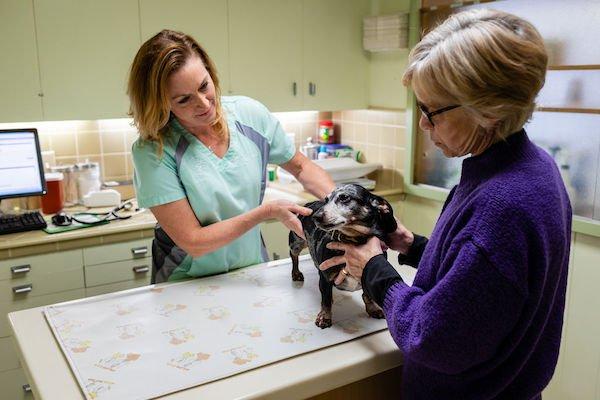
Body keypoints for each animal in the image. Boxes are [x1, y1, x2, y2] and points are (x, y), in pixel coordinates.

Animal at [288, 184, 396, 328]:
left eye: (345, 197)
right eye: (326, 200)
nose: (315, 216)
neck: (353, 240)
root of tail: (309, 204)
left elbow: (367, 295)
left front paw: (373, 308)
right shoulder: (325, 277)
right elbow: (326, 299)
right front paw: (324, 317)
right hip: (296, 242)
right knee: (294, 256)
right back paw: (296, 273)